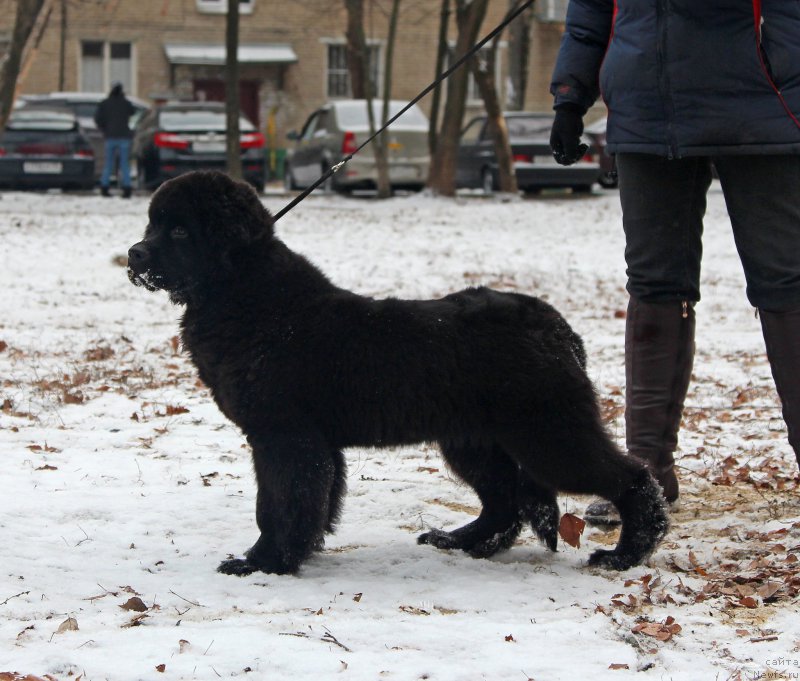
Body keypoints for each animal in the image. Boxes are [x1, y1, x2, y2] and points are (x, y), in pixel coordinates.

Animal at [128, 170, 668, 572]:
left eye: (179, 231)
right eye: (151, 224)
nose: (134, 254)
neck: (245, 295)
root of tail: (559, 328)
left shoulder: (283, 435)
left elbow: (278, 504)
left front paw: (265, 562)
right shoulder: (310, 442)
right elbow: (310, 502)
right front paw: (297, 552)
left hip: (547, 432)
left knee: (631, 479)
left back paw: (626, 553)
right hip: (474, 439)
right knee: (504, 501)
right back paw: (460, 541)